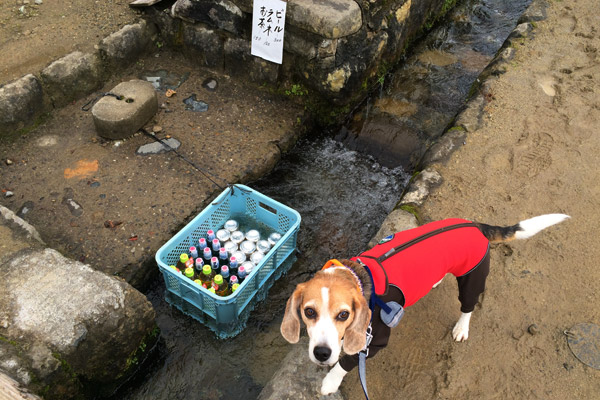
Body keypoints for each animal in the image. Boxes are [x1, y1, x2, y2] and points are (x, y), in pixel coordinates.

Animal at [278, 214, 568, 396]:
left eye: (343, 315)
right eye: (309, 312)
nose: (321, 353)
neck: (358, 276)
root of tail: (474, 224)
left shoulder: (375, 341)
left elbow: (346, 362)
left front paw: (330, 381)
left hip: (472, 277)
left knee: (468, 306)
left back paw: (461, 328)